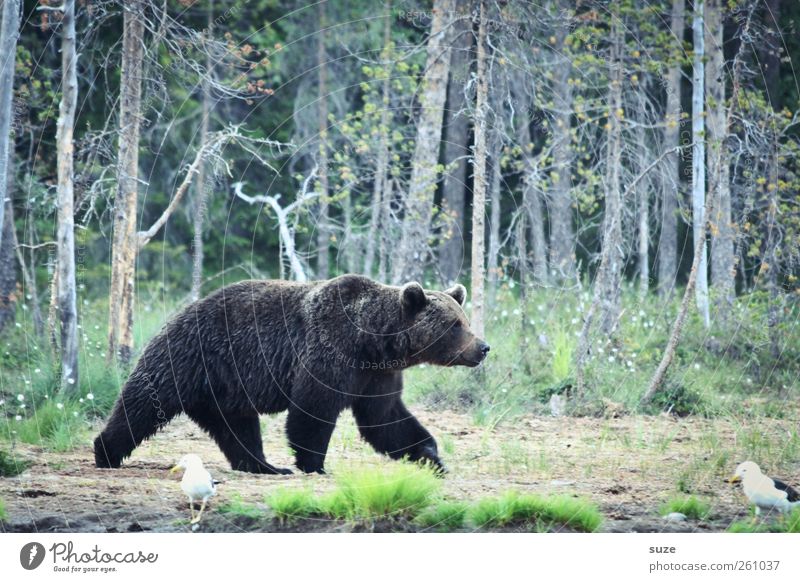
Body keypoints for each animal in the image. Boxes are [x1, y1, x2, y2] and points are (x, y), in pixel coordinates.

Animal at [97, 276, 490, 476]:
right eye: (456, 325)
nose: (483, 347)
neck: (374, 342)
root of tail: (178, 313)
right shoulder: (330, 353)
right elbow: (312, 412)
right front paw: (314, 464)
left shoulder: (376, 376)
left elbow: (385, 420)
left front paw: (430, 455)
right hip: (189, 358)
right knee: (145, 403)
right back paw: (106, 452)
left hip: (224, 389)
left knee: (237, 428)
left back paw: (264, 466)